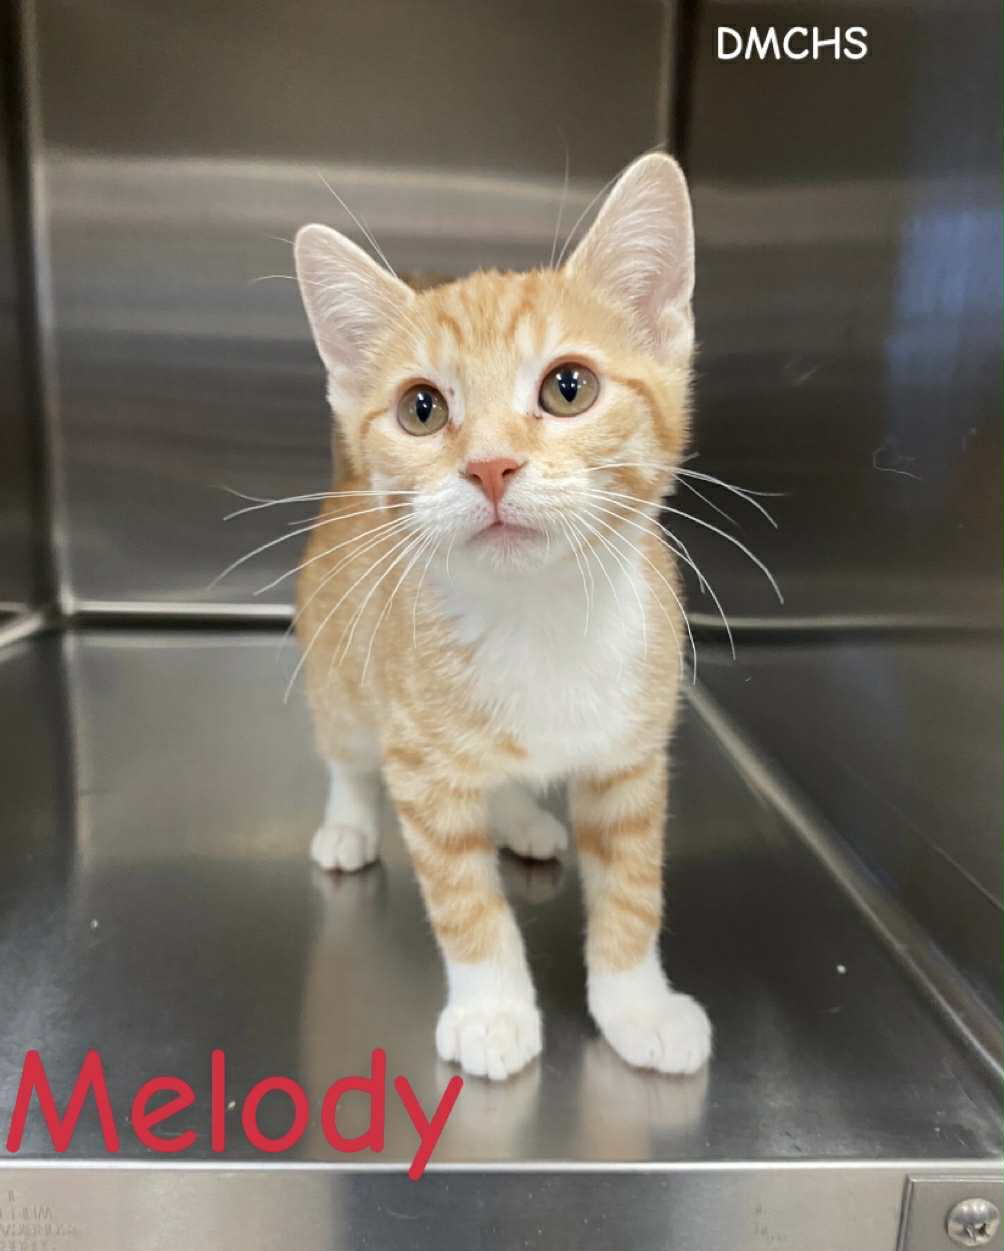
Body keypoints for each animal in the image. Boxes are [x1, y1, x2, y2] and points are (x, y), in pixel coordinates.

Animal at [292, 153, 712, 1081]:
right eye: (421, 408)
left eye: (569, 387)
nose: (489, 465)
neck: (539, 618)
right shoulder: (422, 769)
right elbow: (464, 900)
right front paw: (492, 1010)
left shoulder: (631, 761)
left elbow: (633, 888)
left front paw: (636, 1004)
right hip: (340, 679)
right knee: (344, 755)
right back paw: (347, 824)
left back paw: (522, 818)